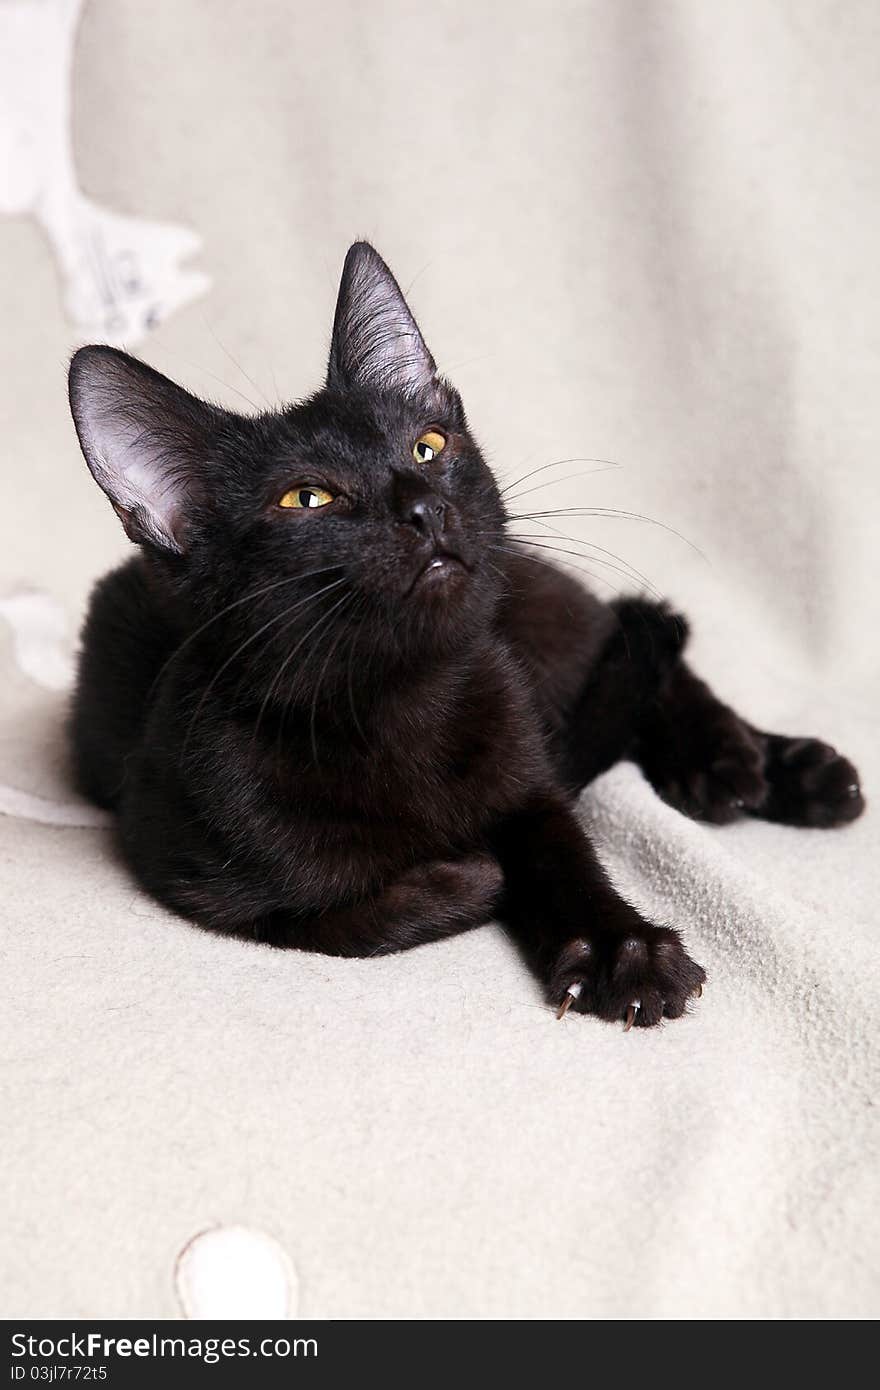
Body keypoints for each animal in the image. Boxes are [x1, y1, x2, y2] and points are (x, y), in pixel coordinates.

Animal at [68, 239, 867, 1028]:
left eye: (428, 446)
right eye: (307, 498)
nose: (425, 506)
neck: (400, 703)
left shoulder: (530, 780)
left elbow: (563, 852)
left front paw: (624, 951)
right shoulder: (189, 866)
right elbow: (335, 915)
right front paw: (469, 876)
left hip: (537, 603)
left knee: (634, 638)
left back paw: (754, 764)